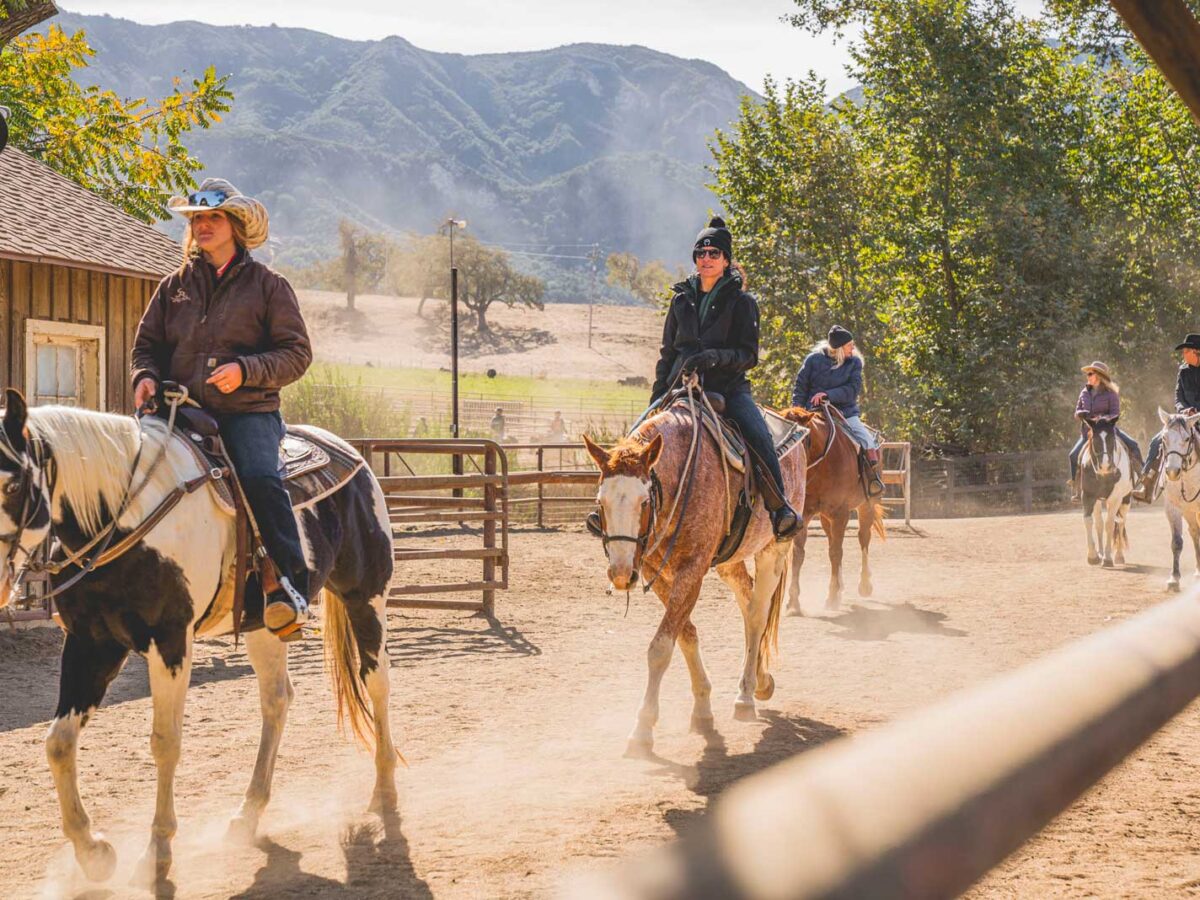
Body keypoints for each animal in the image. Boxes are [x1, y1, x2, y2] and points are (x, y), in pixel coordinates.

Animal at [0, 393, 398, 888]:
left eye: (13, 485)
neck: (126, 518)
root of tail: (353, 455)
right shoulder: (91, 643)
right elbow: (58, 742)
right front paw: (94, 853)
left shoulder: (171, 641)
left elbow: (165, 741)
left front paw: (157, 853)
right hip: (264, 626)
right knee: (277, 699)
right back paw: (247, 814)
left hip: (367, 595)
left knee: (376, 681)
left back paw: (385, 791)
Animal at [583, 398, 806, 758]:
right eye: (600, 503)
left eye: (643, 501)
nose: (620, 574)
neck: (682, 479)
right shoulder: (655, 570)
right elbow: (685, 634)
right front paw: (702, 709)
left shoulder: (692, 570)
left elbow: (661, 647)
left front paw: (642, 729)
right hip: (730, 564)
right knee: (748, 609)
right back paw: (761, 680)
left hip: (773, 549)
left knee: (758, 615)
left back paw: (745, 695)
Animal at [782, 405, 888, 619]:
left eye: (800, 438)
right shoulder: (806, 514)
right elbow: (799, 554)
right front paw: (794, 603)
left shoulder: (841, 514)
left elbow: (835, 552)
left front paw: (831, 597)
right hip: (825, 517)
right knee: (833, 541)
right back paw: (841, 588)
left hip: (867, 505)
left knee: (863, 538)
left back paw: (865, 585)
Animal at [1080, 417, 1132, 571]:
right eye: (1094, 439)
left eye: (1111, 439)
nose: (1105, 466)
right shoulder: (1088, 496)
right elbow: (1089, 521)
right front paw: (1093, 556)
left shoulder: (1115, 499)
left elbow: (1110, 524)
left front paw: (1108, 558)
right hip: (1098, 501)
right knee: (1099, 523)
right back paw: (1101, 553)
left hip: (1125, 500)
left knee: (1120, 522)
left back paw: (1118, 556)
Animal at [1152, 408, 1200, 592]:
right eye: (1164, 438)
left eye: (1187, 439)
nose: (1172, 472)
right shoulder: (1173, 508)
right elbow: (1177, 542)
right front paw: (1174, 579)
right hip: (1189, 512)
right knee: (1195, 533)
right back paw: (1198, 571)